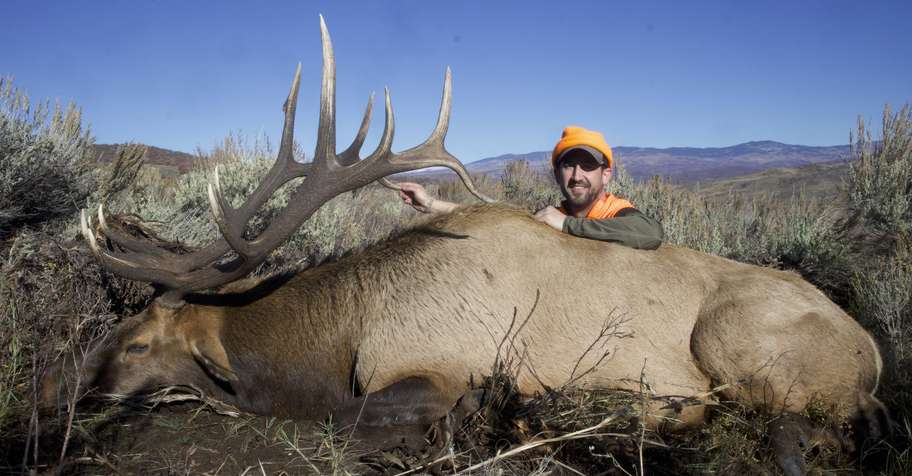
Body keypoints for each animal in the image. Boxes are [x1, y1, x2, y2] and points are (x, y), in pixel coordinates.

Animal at [40, 17, 884, 475]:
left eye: (139, 342)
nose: (69, 387)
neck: (334, 338)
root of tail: (872, 347)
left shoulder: (440, 364)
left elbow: (344, 418)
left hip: (739, 341)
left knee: (798, 429)